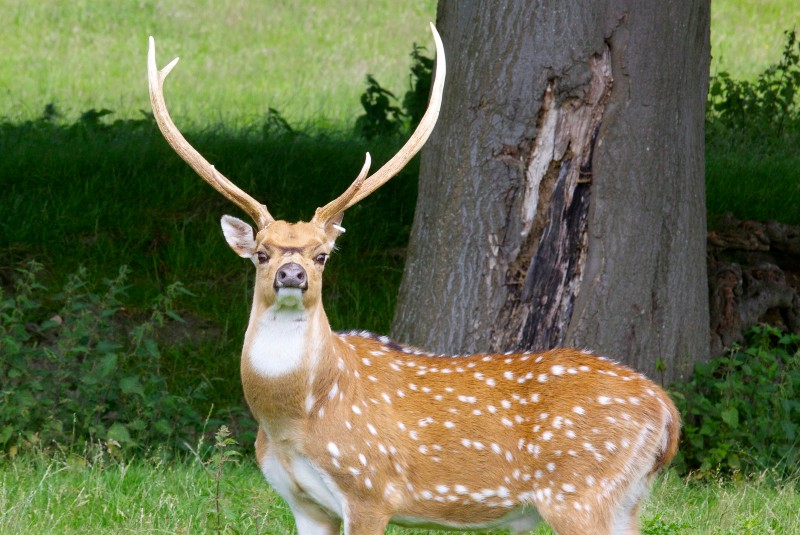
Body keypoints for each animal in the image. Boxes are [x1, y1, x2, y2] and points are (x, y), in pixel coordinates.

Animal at [147, 23, 680, 535]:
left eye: (322, 255)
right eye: (261, 252)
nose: (292, 272)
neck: (293, 418)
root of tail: (667, 414)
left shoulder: (369, 488)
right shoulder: (302, 502)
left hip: (579, 491)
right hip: (624, 500)